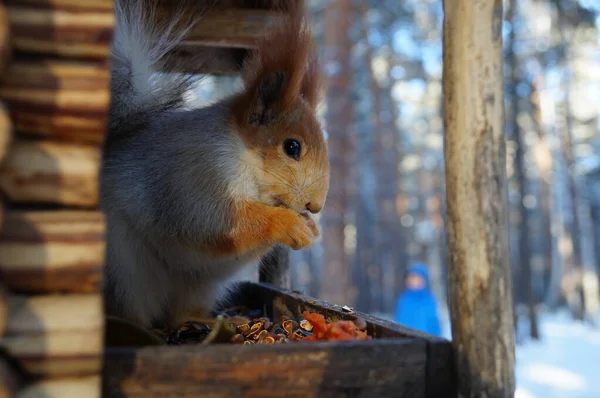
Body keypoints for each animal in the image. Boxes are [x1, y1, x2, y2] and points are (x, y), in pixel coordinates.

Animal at [101, 0, 330, 330]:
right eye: (292, 147)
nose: (316, 205)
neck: (245, 157)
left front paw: (310, 227)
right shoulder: (194, 175)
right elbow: (216, 223)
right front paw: (288, 223)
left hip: (200, 285)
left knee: (181, 312)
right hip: (123, 269)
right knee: (133, 309)